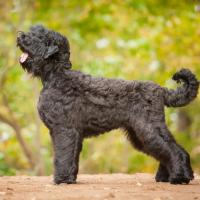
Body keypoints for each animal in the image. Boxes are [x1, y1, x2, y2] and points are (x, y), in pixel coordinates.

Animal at [17, 25, 198, 184]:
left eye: (39, 37)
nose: (20, 36)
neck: (57, 76)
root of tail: (161, 90)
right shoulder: (74, 132)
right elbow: (72, 157)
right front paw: (70, 178)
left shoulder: (64, 129)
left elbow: (63, 155)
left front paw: (61, 179)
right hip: (140, 133)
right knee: (168, 151)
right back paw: (169, 177)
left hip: (148, 129)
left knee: (173, 150)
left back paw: (179, 178)